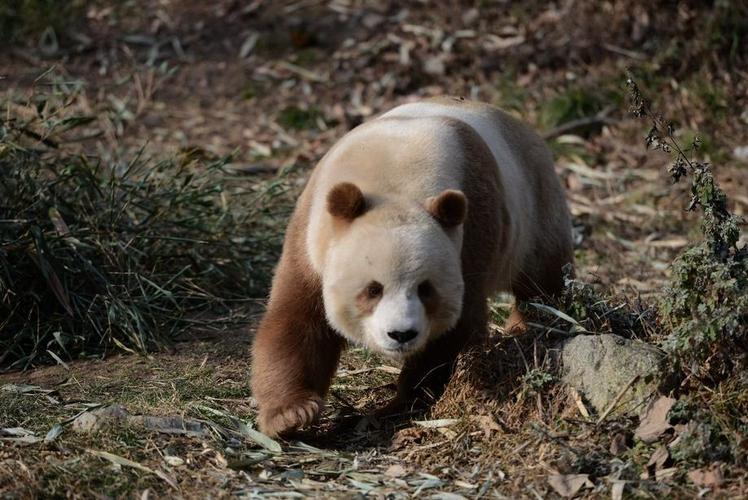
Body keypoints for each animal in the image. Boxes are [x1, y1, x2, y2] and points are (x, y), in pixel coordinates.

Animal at [250, 97, 573, 437]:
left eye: (425, 289)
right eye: (373, 290)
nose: (401, 334)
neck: (395, 180)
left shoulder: (471, 226)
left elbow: (456, 326)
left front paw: (404, 400)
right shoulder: (313, 232)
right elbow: (298, 318)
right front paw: (291, 414)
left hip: (534, 204)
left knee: (543, 280)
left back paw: (531, 325)